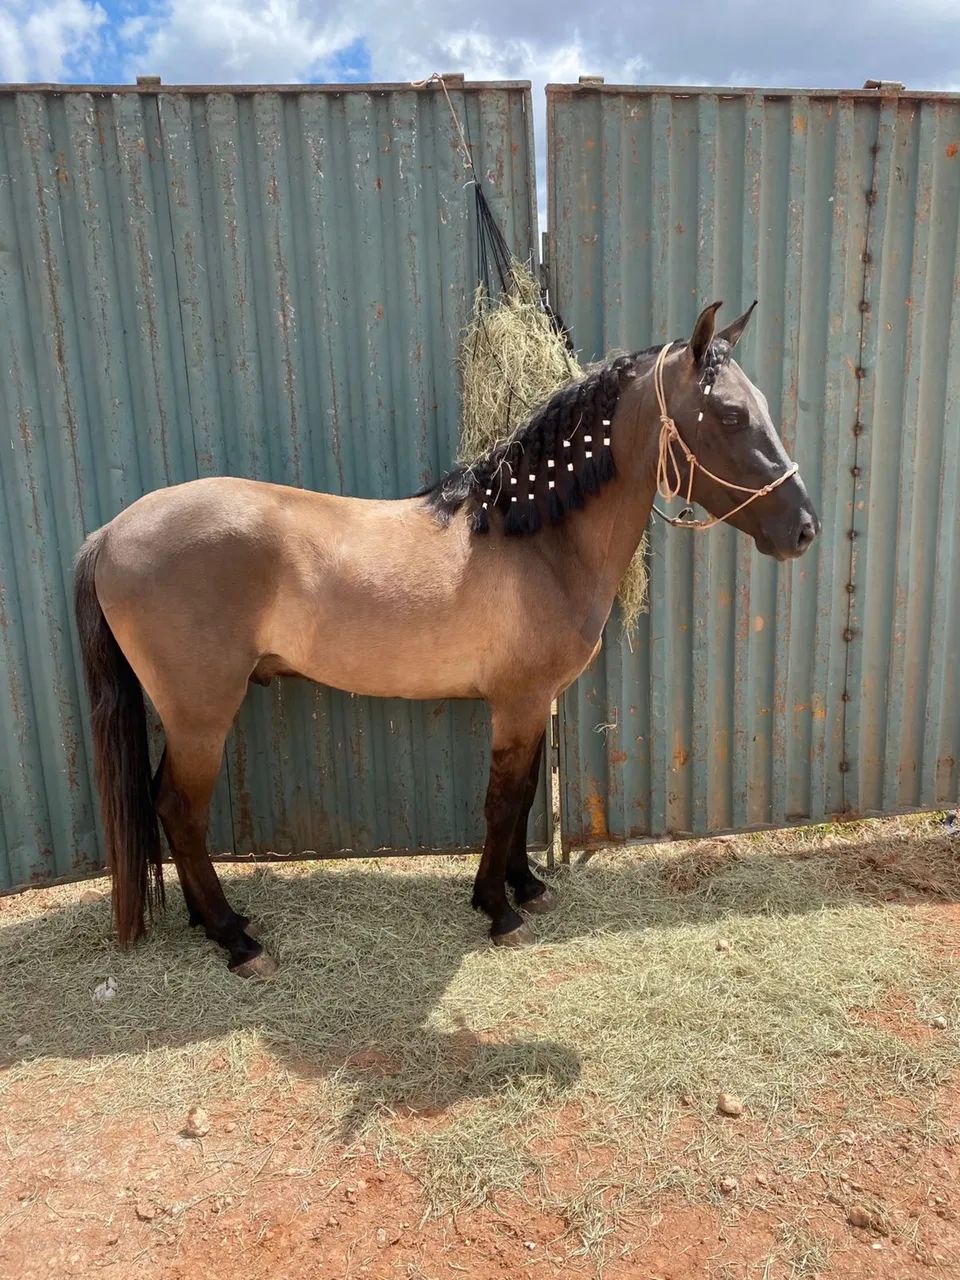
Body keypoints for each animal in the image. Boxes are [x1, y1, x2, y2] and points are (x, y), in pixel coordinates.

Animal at [73, 300, 820, 977]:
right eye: (730, 415)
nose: (804, 529)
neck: (536, 540)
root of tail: (110, 533)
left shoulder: (533, 702)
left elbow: (523, 796)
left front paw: (528, 887)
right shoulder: (517, 702)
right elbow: (500, 802)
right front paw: (498, 909)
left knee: (165, 805)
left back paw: (215, 923)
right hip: (201, 714)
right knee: (179, 808)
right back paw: (235, 939)